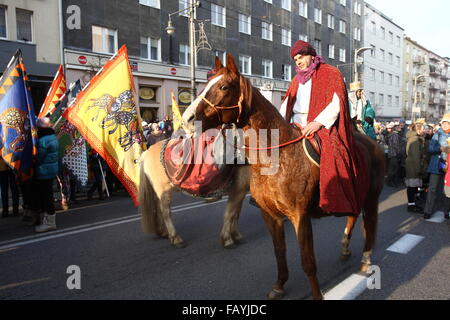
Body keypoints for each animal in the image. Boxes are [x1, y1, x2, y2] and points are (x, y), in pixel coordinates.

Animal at [185, 53, 384, 298]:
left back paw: (366, 260)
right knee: (352, 216)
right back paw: (345, 247)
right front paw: (279, 285)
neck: (275, 157)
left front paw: (317, 295)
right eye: (206, 84)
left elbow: (308, 262)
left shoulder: (300, 216)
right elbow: (279, 252)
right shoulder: (271, 215)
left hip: (371, 197)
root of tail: (373, 143)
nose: (187, 119)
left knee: (370, 224)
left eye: (223, 86)